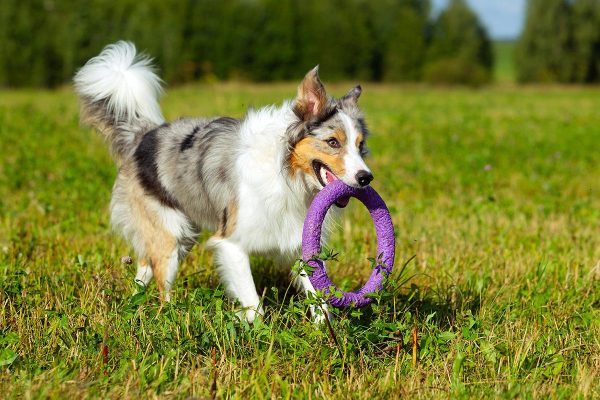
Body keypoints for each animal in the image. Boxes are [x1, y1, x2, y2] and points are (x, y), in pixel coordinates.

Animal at [74, 41, 372, 322]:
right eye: (332, 142)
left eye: (360, 145)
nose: (366, 178)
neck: (286, 172)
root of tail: (144, 135)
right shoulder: (232, 243)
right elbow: (253, 304)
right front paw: (259, 333)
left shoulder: (299, 239)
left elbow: (318, 297)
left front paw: (325, 333)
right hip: (170, 234)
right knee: (161, 279)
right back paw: (169, 317)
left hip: (181, 233)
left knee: (145, 265)